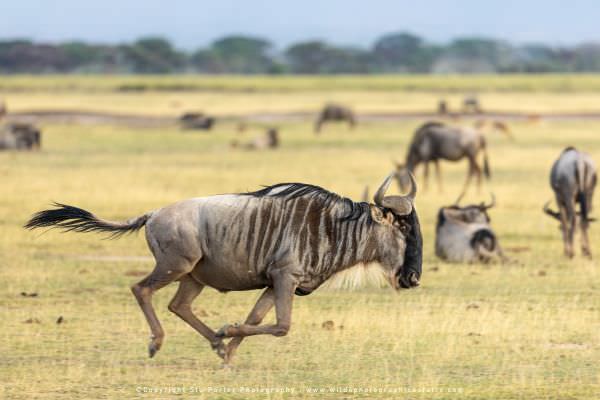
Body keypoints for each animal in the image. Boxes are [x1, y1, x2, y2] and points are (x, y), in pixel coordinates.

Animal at [25, 172, 422, 362]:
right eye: (402, 228)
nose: (414, 278)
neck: (332, 228)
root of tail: (152, 214)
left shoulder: (276, 282)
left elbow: (257, 319)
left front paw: (228, 348)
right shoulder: (285, 278)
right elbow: (281, 326)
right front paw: (226, 331)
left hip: (194, 276)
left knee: (178, 305)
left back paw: (213, 342)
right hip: (175, 265)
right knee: (142, 289)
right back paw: (157, 342)